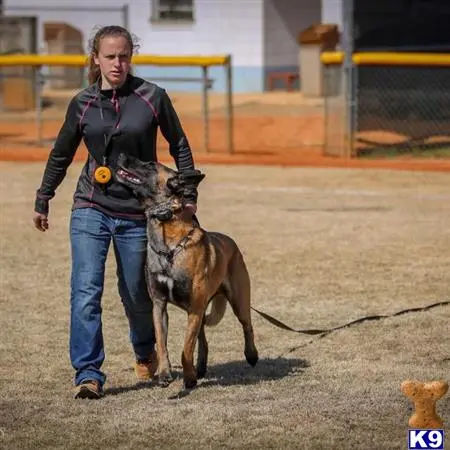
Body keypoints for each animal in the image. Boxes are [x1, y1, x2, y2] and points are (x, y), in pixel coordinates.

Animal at [114, 154, 258, 390]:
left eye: (150, 164)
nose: (120, 155)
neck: (169, 247)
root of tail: (231, 243)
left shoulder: (194, 309)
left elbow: (185, 349)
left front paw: (188, 378)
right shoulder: (160, 306)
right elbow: (163, 343)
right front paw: (165, 373)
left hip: (238, 301)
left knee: (247, 325)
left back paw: (251, 355)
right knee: (203, 339)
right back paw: (200, 367)